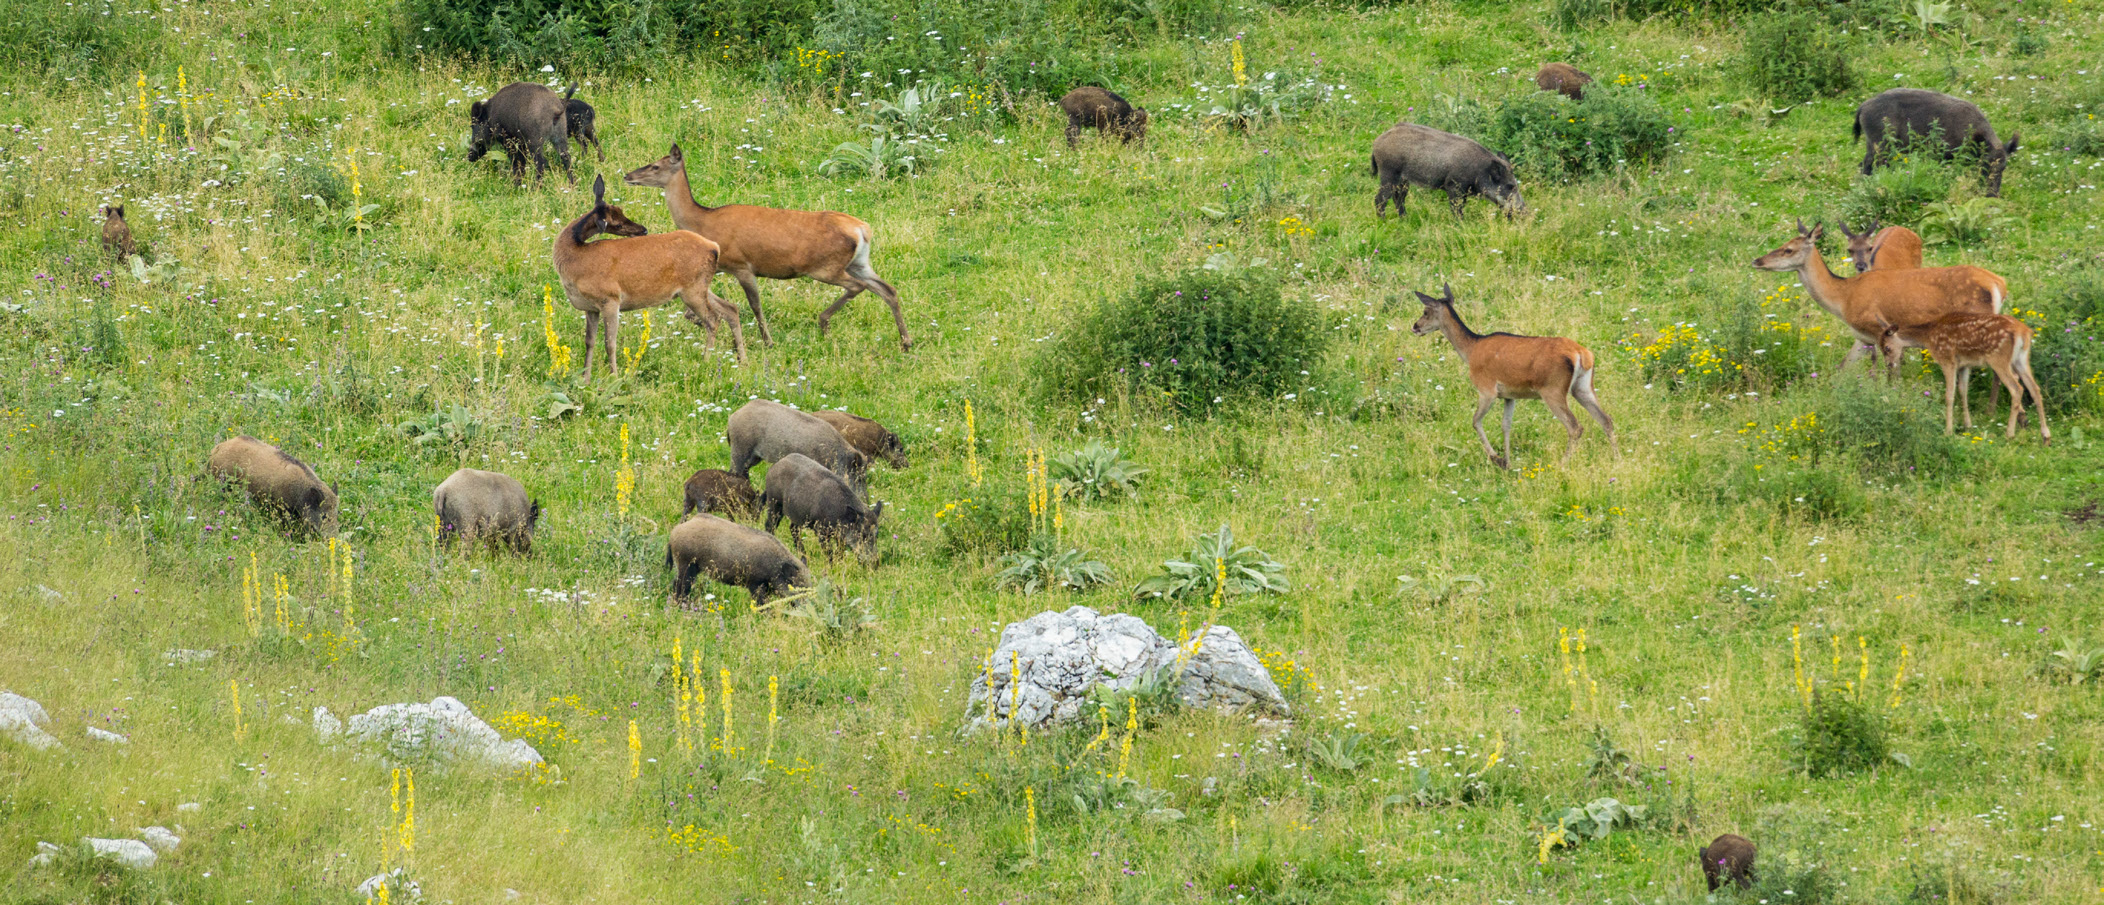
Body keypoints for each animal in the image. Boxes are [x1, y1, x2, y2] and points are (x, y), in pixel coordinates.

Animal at [552, 175, 746, 380]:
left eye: (621, 213)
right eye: (617, 221)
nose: (642, 230)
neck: (576, 262)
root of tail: (714, 247)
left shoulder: (610, 298)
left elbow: (609, 343)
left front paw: (614, 377)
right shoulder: (590, 308)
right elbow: (589, 342)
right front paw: (585, 379)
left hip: (692, 289)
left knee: (713, 319)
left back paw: (706, 360)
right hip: (699, 286)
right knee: (730, 308)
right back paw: (743, 360)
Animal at [623, 144, 911, 351]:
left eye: (655, 165)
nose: (628, 175)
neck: (702, 222)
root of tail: (862, 229)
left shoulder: (741, 265)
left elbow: (755, 305)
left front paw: (767, 341)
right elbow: (692, 311)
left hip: (825, 267)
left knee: (858, 286)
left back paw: (824, 323)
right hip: (859, 262)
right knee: (888, 289)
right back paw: (906, 341)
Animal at [1411, 284, 1616, 470]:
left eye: (1425, 311)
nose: (1415, 327)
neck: (1470, 351)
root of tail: (1582, 354)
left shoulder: (1486, 388)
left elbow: (1475, 421)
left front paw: (1497, 458)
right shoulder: (1509, 395)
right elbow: (1506, 425)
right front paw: (1507, 462)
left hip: (1553, 389)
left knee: (1575, 426)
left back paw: (1562, 464)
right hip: (1583, 385)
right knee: (1606, 419)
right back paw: (1618, 459)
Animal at [1751, 219, 2006, 379]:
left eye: (1788, 249)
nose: (1756, 261)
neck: (1844, 298)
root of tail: (1998, 284)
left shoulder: (1881, 331)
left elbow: (1891, 373)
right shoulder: (1862, 337)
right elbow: (1842, 368)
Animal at [1879, 313, 2049, 443]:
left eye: (1887, 348)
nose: (1889, 365)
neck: (1928, 336)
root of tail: (2024, 332)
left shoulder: (1947, 359)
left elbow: (1949, 395)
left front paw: (1948, 431)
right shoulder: (1964, 365)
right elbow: (1963, 391)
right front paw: (1968, 425)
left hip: (1998, 358)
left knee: (2017, 389)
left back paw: (2010, 434)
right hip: (2021, 359)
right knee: (2035, 388)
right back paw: (2046, 436)